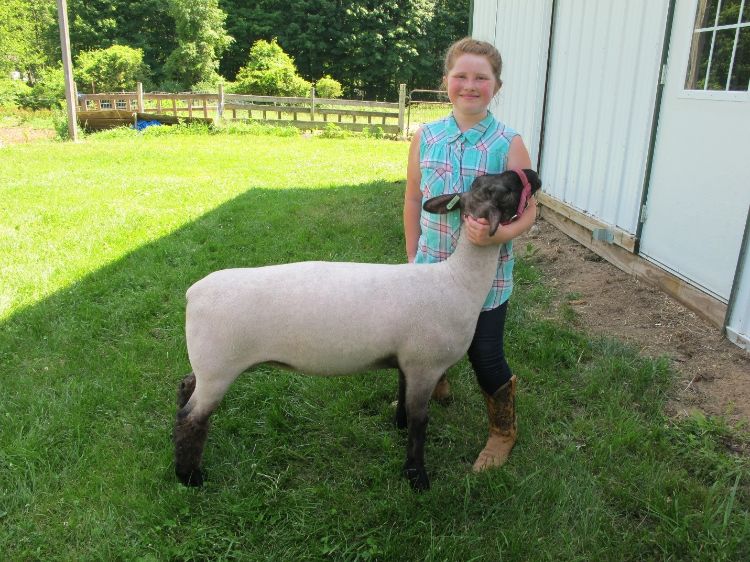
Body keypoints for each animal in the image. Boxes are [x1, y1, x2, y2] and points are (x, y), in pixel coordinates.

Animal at [174, 167, 544, 490]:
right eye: (503, 190)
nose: (533, 173)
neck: (457, 280)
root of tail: (193, 293)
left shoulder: (407, 361)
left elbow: (403, 400)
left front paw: (398, 427)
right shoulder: (425, 365)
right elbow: (420, 422)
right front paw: (417, 477)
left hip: (207, 365)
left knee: (185, 387)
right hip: (219, 368)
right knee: (192, 419)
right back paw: (189, 477)